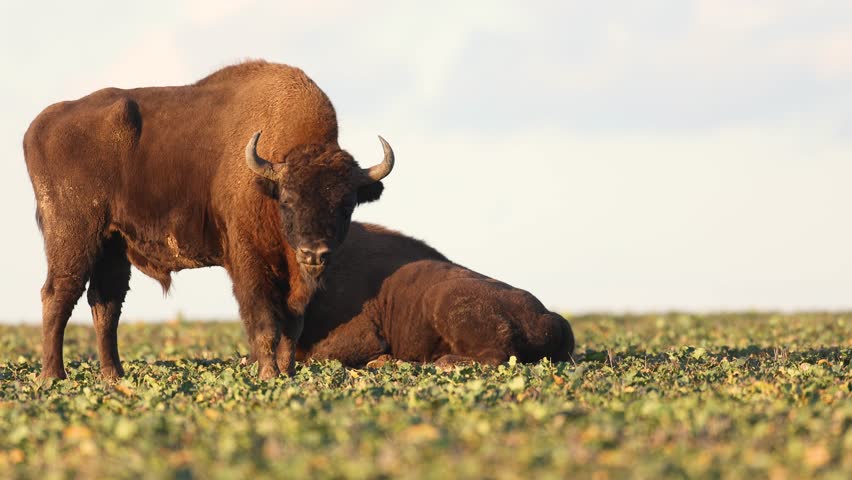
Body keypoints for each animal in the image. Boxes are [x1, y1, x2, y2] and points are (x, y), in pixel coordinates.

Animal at [24, 60, 394, 380]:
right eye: (288, 199)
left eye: (346, 204)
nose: (314, 253)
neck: (267, 182)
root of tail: (39, 126)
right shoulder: (247, 262)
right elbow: (264, 323)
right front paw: (268, 375)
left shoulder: (295, 284)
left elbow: (292, 327)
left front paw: (287, 374)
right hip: (73, 236)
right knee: (58, 294)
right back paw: (53, 377)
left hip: (112, 244)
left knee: (105, 305)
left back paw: (114, 376)